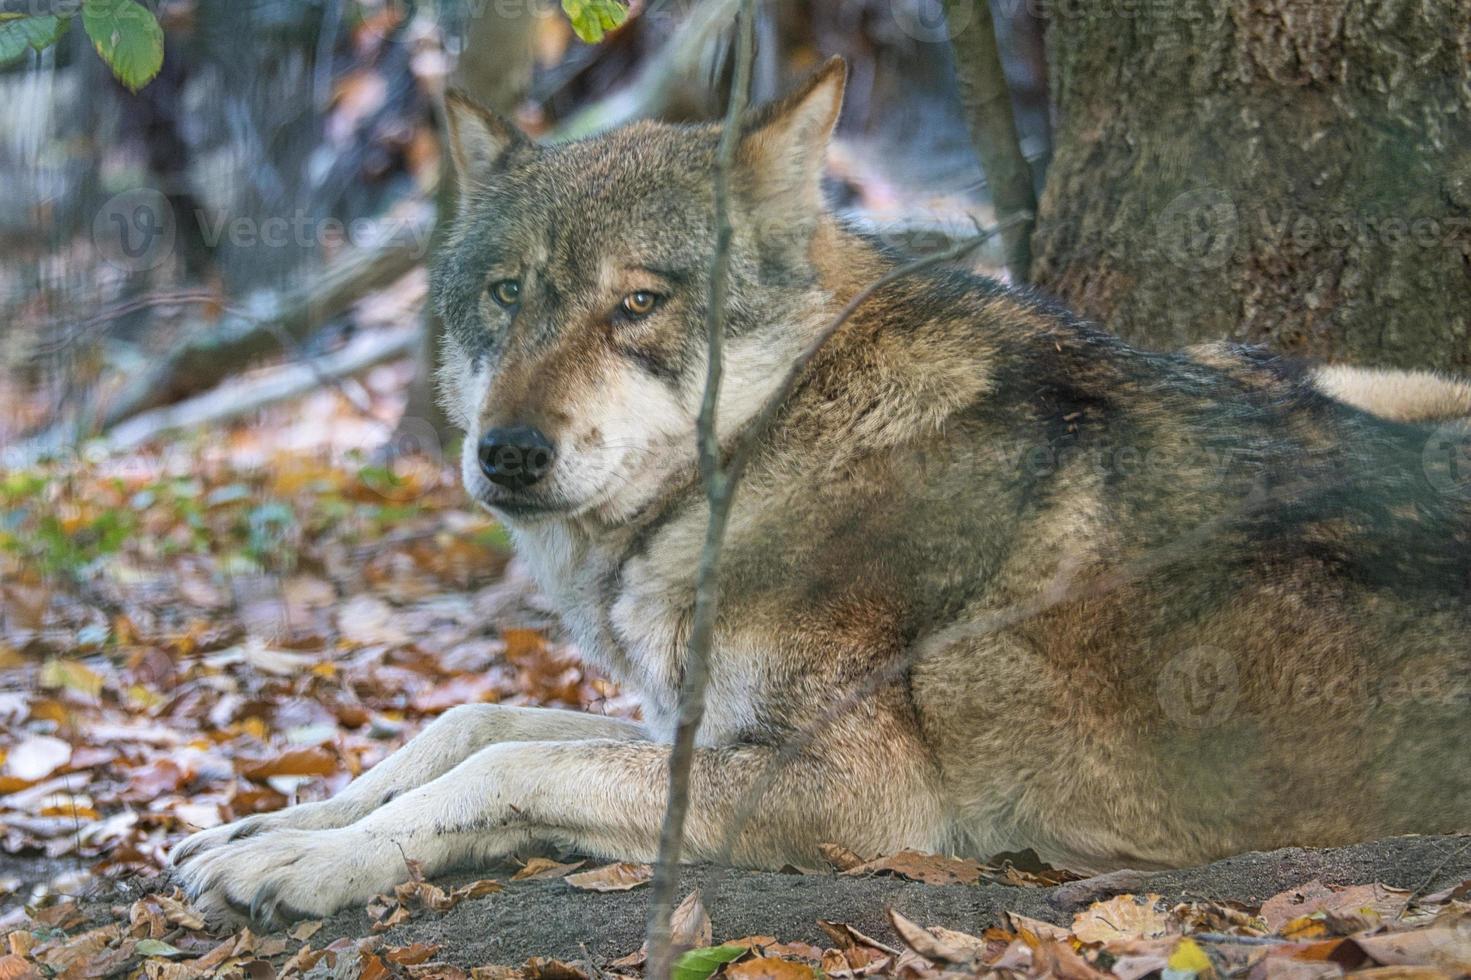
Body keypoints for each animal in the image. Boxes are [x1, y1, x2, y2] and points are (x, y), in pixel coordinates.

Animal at [166, 62, 1465, 924]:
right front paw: (266, 822)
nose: (509, 454)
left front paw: (306, 863)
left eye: (638, 302)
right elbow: (468, 722)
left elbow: (507, 765)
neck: (775, 439)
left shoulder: (868, 800)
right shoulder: (692, 720)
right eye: (506, 293)